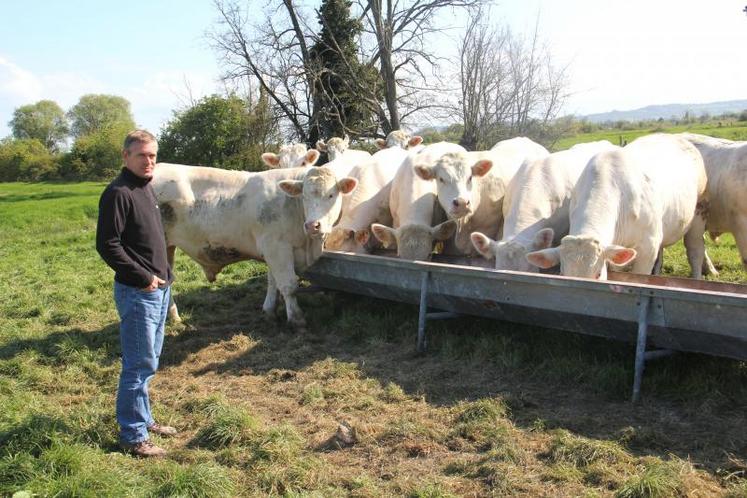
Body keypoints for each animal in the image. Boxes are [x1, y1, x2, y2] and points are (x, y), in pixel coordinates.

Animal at [151, 161, 356, 330]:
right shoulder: (276, 247)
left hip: (168, 248)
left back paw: (174, 318)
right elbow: (288, 284)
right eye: (304, 196)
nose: (313, 225)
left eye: (331, 195)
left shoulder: (274, 250)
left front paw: (269, 311)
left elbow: (273, 282)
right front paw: (296, 319)